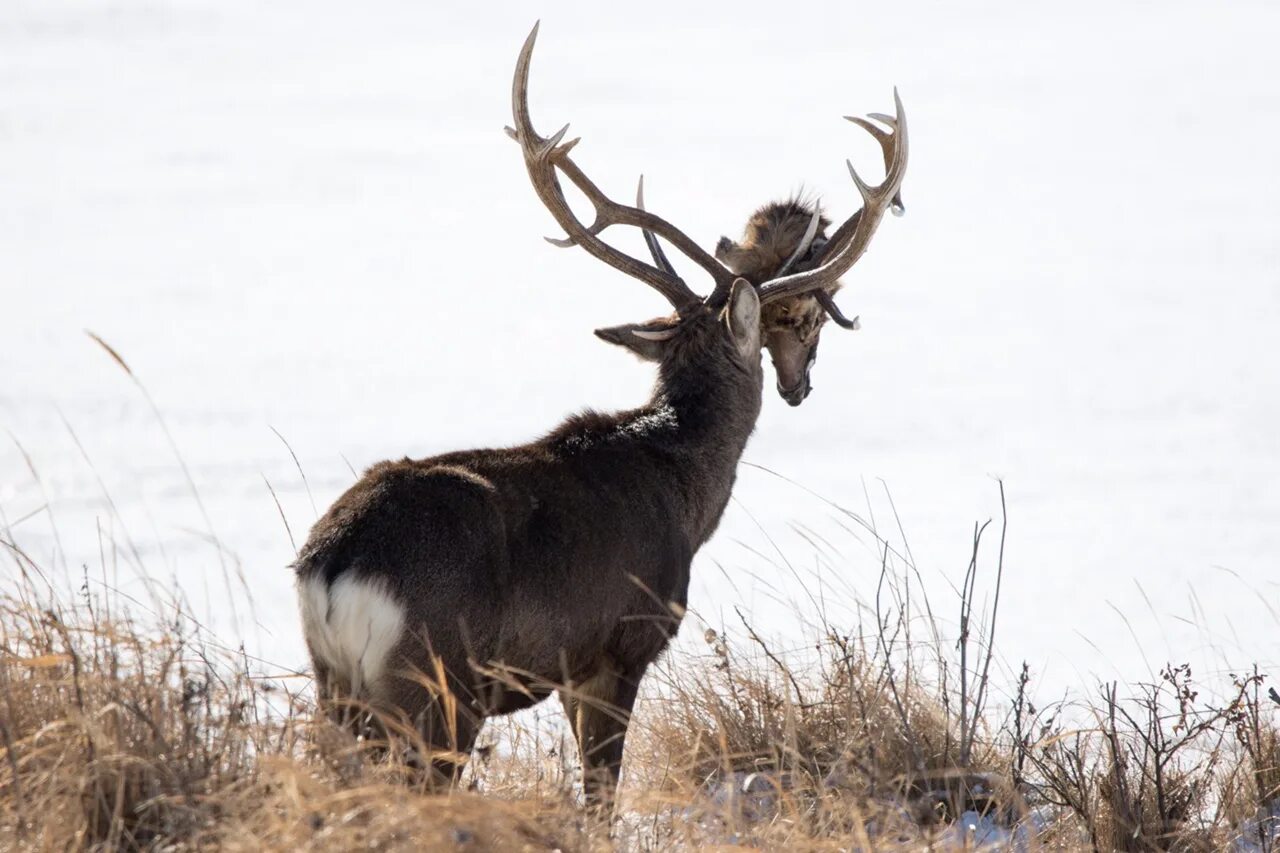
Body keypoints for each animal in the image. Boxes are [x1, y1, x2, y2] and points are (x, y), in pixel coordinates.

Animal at [293, 19, 906, 804]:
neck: (685, 488)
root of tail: (332, 565)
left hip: (336, 686)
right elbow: (600, 797)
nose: (801, 386)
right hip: (434, 681)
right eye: (801, 321)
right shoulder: (618, 647)